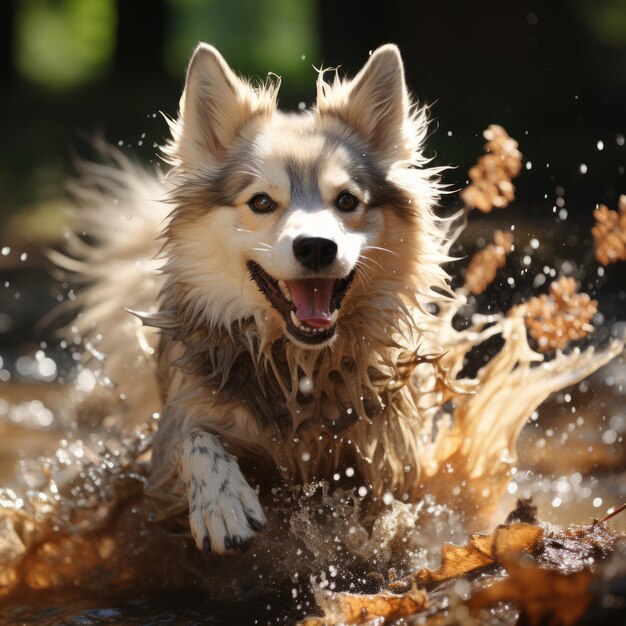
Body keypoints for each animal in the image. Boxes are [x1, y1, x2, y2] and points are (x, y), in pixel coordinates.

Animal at [62, 42, 454, 552]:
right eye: (261, 202)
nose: (315, 247)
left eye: (347, 201)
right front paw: (222, 502)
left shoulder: (391, 457)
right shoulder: (175, 431)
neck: (299, 372)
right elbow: (194, 439)